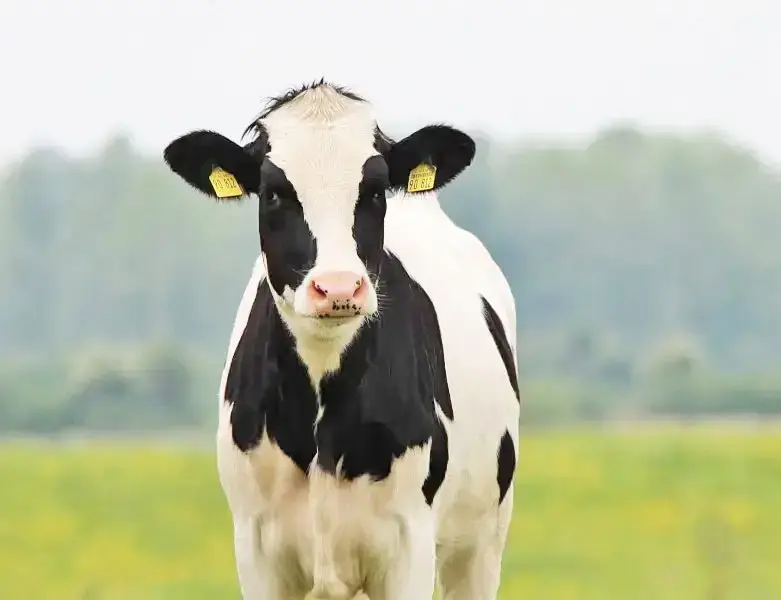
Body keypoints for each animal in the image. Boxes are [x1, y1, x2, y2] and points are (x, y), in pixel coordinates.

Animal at [163, 80, 520, 600]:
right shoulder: (255, 548)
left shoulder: (409, 544)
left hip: (481, 543)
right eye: (273, 193)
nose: (337, 287)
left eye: (373, 191)